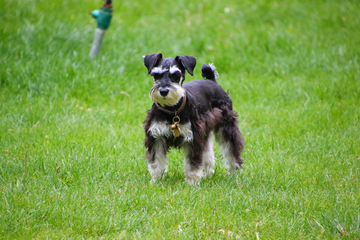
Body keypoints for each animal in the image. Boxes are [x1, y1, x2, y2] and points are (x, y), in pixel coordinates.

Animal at [143, 53, 245, 184]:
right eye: (156, 75)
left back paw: (233, 174)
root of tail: (212, 80)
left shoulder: (193, 137)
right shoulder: (156, 137)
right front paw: (156, 181)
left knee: (231, 150)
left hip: (227, 126)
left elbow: (192, 163)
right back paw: (207, 174)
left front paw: (191, 182)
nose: (164, 91)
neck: (172, 109)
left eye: (176, 75)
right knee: (208, 154)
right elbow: (156, 162)